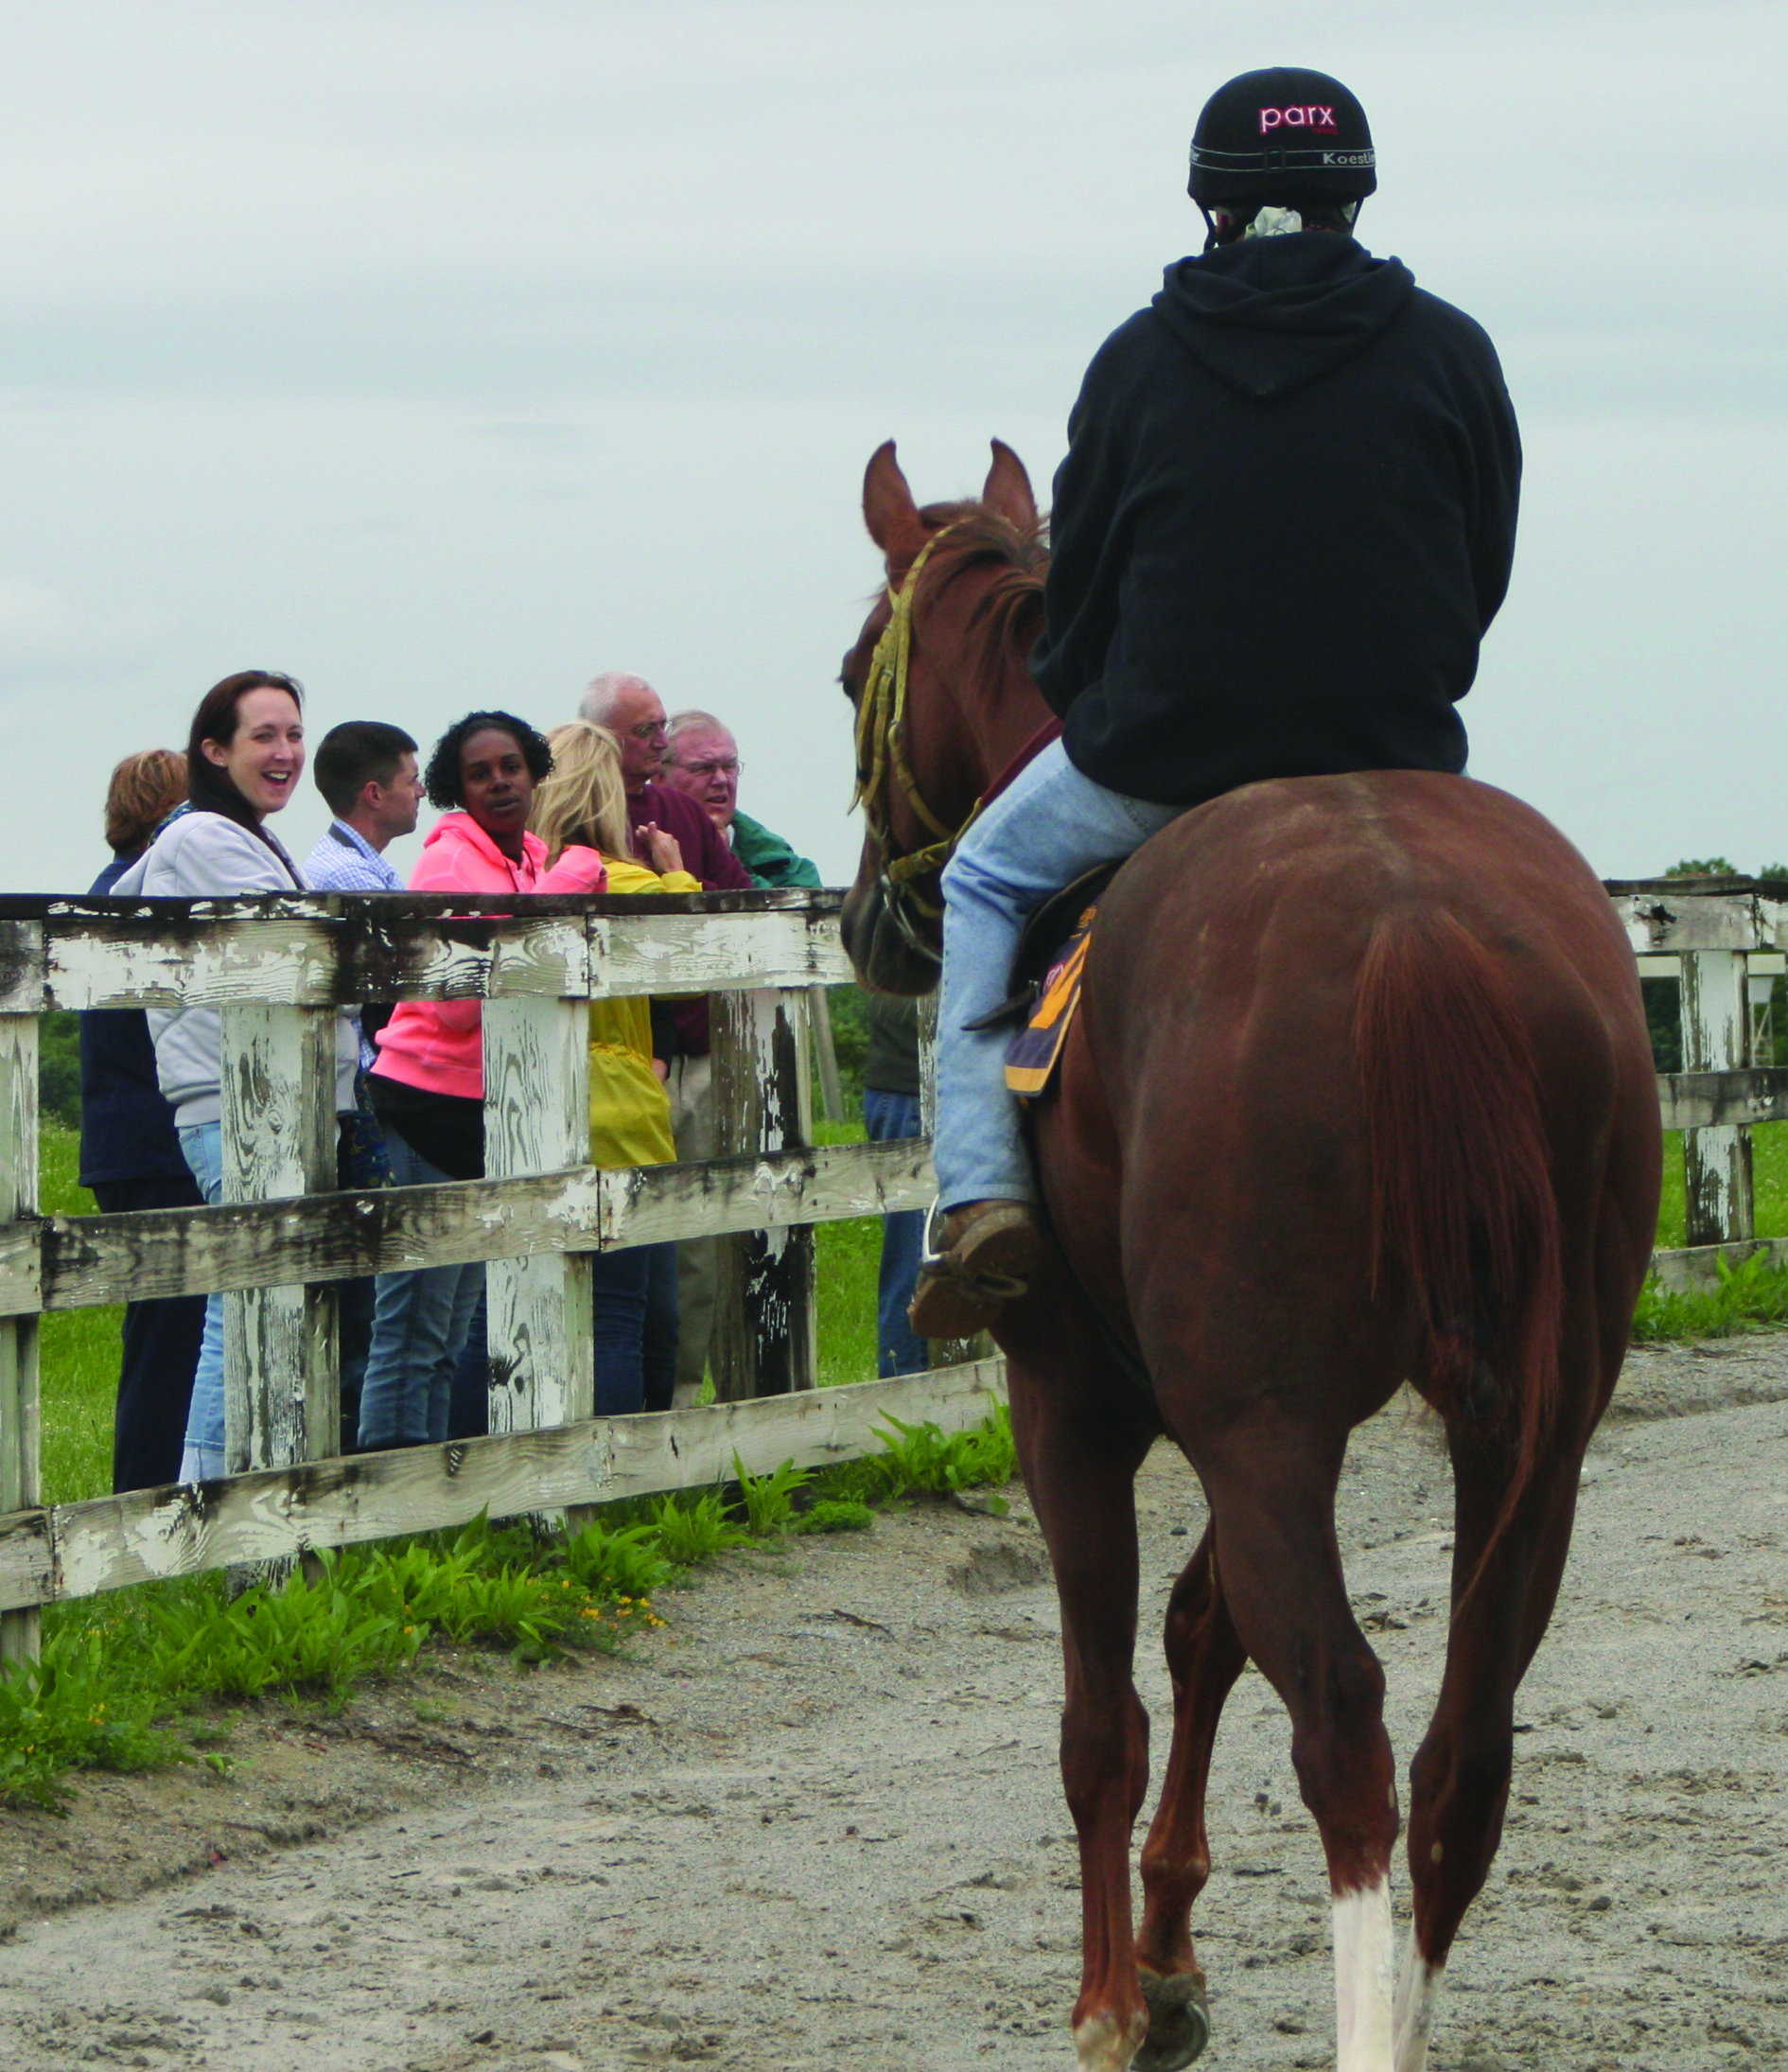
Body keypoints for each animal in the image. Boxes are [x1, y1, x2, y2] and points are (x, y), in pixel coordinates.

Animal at [836, 441, 1665, 2072]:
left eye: (852, 673)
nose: (864, 922)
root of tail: (1417, 926)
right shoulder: (1237, 1412)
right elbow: (1201, 1626)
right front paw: (1165, 1958)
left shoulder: (1079, 1400)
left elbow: (1104, 1709)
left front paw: (1110, 1999)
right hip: (1529, 1431)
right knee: (1463, 1749)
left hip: (1263, 1425)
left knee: (1343, 1723)